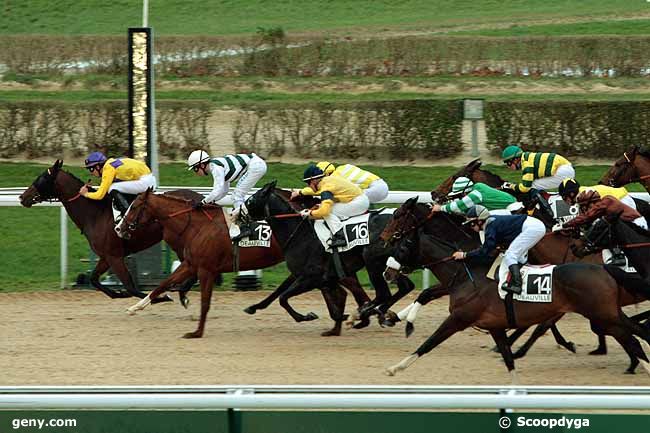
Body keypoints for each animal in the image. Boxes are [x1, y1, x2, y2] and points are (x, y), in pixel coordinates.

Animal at [20, 159, 197, 304]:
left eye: (42, 178)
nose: (22, 197)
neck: (95, 214)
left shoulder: (115, 257)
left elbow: (132, 288)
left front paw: (162, 297)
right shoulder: (105, 257)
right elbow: (94, 279)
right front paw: (119, 293)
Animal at [380, 211, 648, 380]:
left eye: (403, 246)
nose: (387, 271)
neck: (466, 275)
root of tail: (604, 270)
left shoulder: (459, 319)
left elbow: (428, 343)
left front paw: (395, 367)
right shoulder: (495, 325)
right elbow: (509, 361)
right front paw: (394, 317)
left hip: (603, 313)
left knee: (634, 334)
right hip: (604, 314)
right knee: (631, 334)